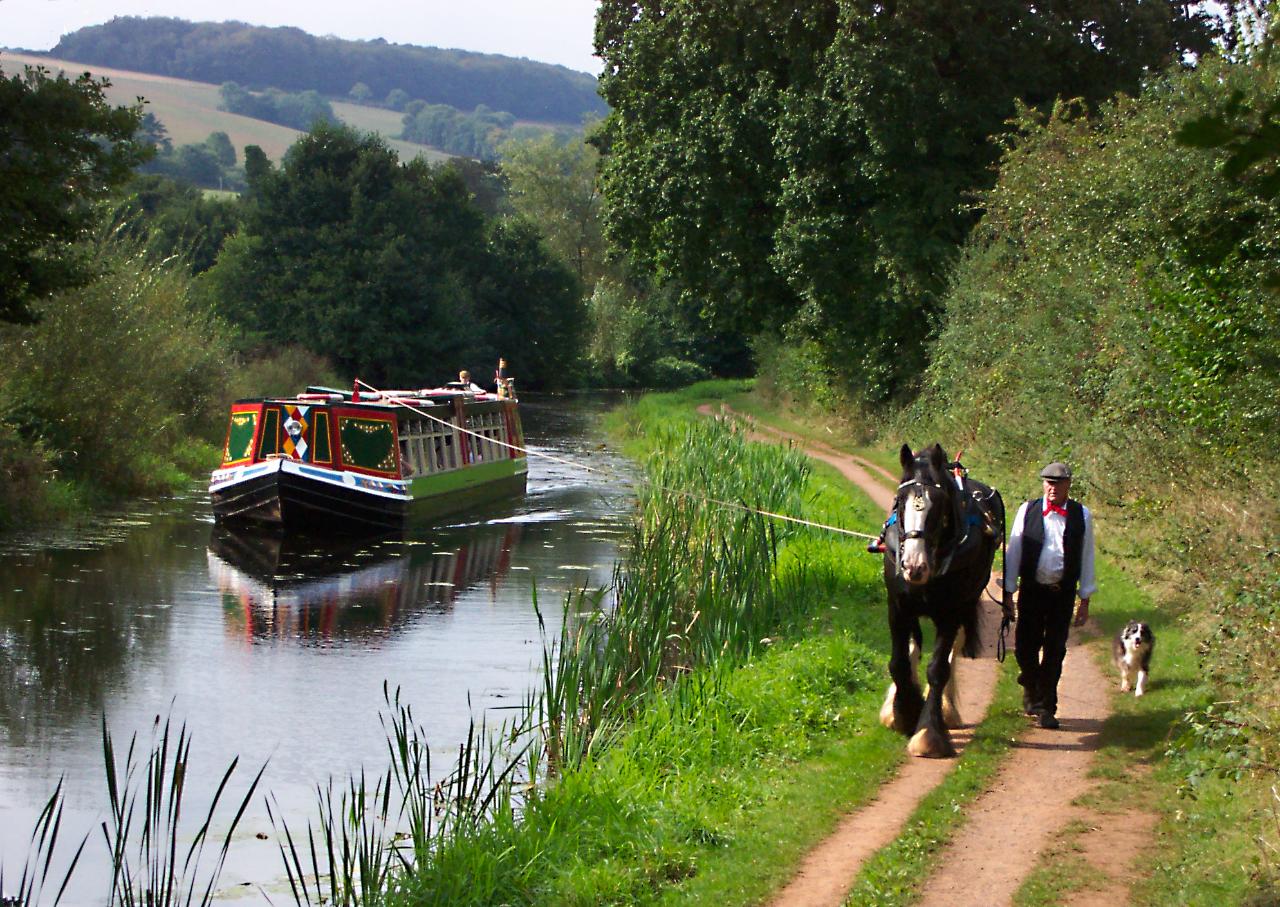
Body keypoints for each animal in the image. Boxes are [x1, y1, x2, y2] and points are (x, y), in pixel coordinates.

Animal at [885, 442, 1003, 752]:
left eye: (938, 506)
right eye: (900, 500)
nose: (914, 566)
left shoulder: (951, 612)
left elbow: (938, 668)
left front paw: (928, 733)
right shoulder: (898, 607)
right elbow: (899, 664)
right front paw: (903, 712)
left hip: (966, 604)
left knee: (950, 655)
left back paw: (947, 710)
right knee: (914, 645)